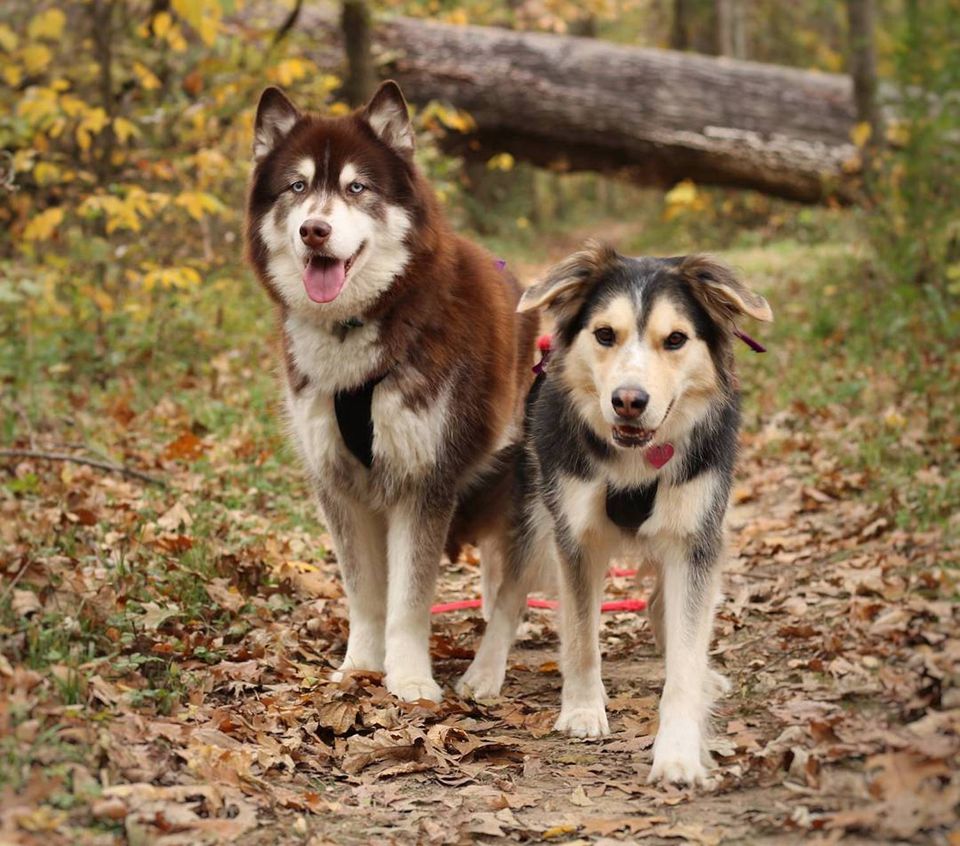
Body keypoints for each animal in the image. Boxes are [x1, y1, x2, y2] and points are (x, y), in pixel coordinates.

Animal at [460, 243, 772, 788]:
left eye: (676, 339)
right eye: (605, 334)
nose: (629, 401)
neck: (637, 460)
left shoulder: (696, 537)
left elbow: (685, 653)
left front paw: (678, 751)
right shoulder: (575, 535)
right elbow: (582, 635)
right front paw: (583, 710)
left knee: (661, 606)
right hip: (536, 511)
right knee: (510, 595)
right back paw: (484, 671)